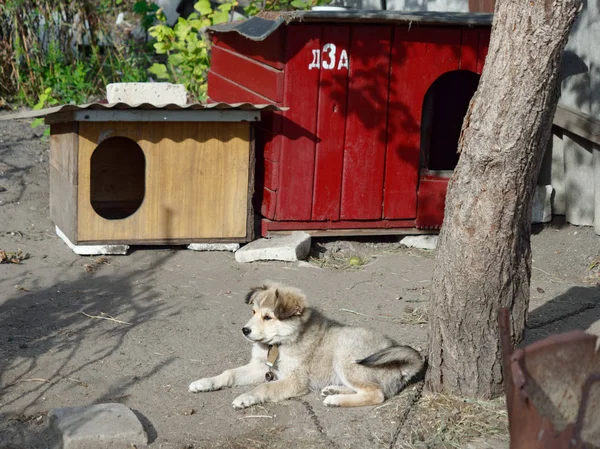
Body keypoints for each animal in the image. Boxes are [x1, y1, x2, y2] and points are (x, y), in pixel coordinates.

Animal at [190, 282, 424, 408]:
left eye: (268, 317)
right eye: (253, 312)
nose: (244, 330)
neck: (277, 345)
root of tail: (402, 365)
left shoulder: (295, 380)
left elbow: (265, 386)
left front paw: (246, 397)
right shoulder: (261, 367)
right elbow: (229, 373)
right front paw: (205, 382)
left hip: (345, 356)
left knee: (376, 394)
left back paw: (336, 399)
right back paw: (333, 389)